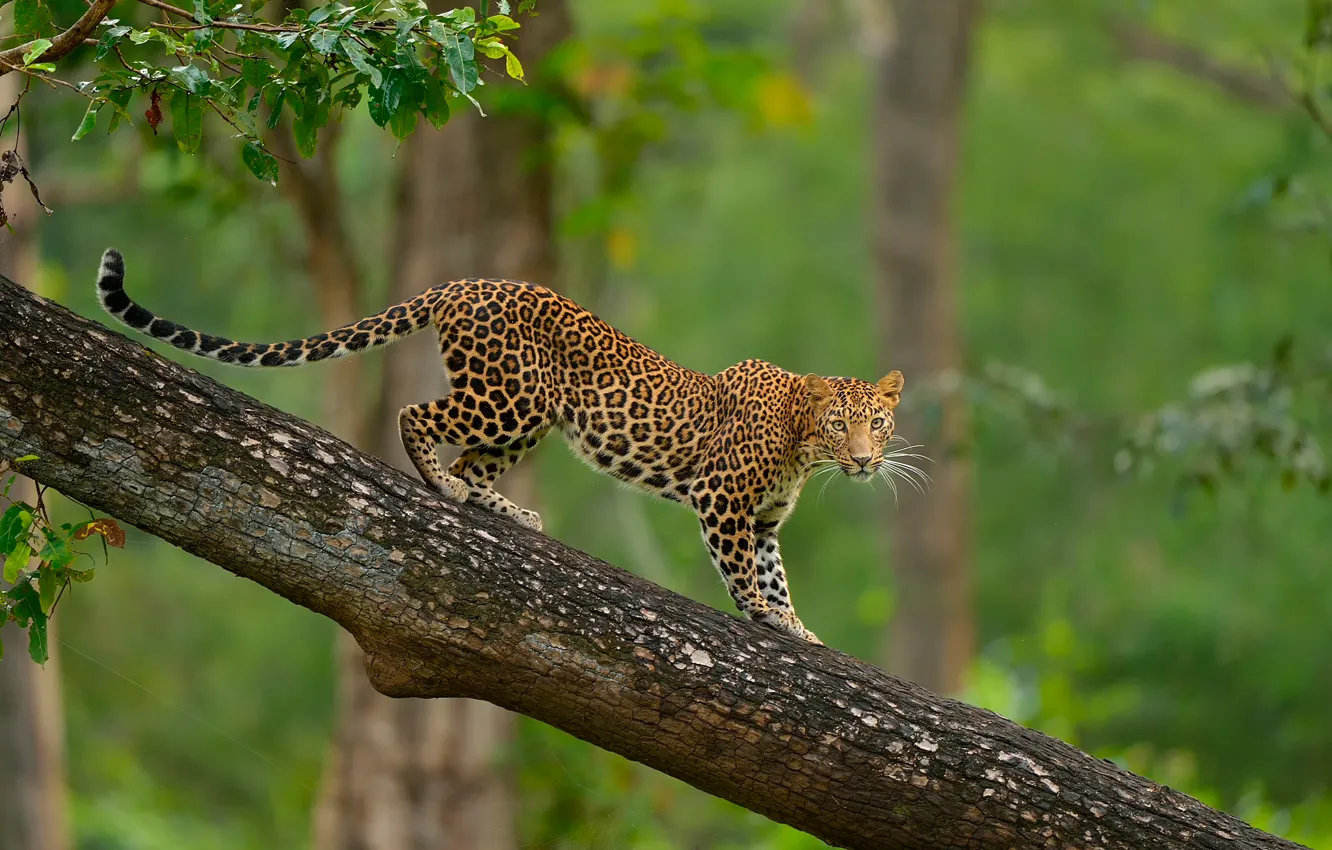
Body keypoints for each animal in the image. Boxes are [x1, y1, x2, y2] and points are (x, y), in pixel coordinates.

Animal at [94, 247, 914, 644]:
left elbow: (775, 573)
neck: (802, 447)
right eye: (840, 423)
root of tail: (463, 284)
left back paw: (506, 511)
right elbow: (746, 576)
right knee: (418, 416)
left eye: (877, 423)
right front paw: (770, 621)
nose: (865, 460)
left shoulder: (764, 520)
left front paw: (801, 630)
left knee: (468, 455)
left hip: (530, 418)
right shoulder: (723, 502)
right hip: (507, 396)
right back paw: (442, 486)